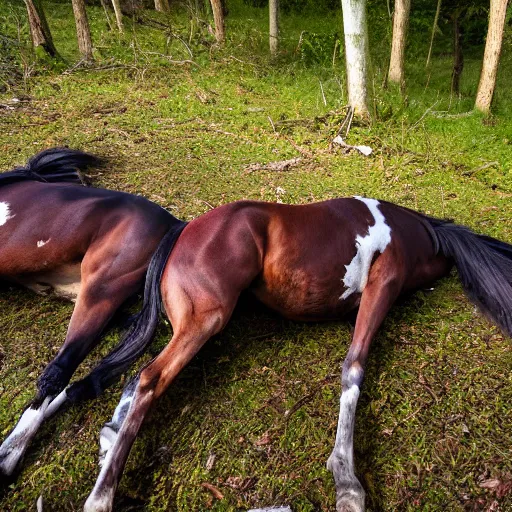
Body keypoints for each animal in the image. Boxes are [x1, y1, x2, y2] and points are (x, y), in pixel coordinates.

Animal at [73, 194, 512, 510]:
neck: (415, 230)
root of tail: (183, 230)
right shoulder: (384, 281)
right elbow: (354, 367)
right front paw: (346, 482)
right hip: (205, 321)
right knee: (150, 377)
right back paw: (101, 496)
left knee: (136, 376)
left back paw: (110, 437)